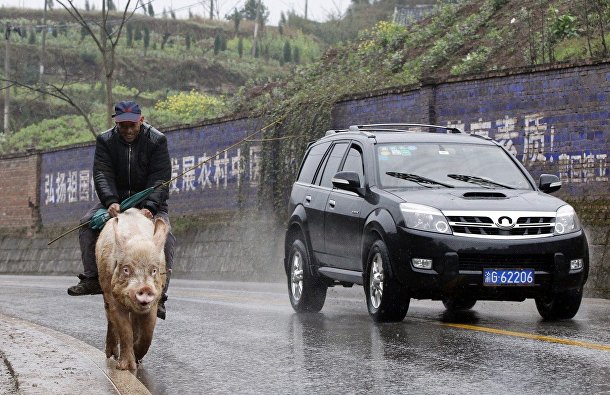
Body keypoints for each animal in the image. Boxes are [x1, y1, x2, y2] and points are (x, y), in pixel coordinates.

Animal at [95, 209, 167, 372]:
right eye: (126, 269)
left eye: (154, 270)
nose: (145, 288)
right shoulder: (113, 295)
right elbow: (124, 329)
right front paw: (126, 368)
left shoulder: (154, 302)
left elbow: (148, 332)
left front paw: (138, 359)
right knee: (109, 318)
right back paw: (111, 355)